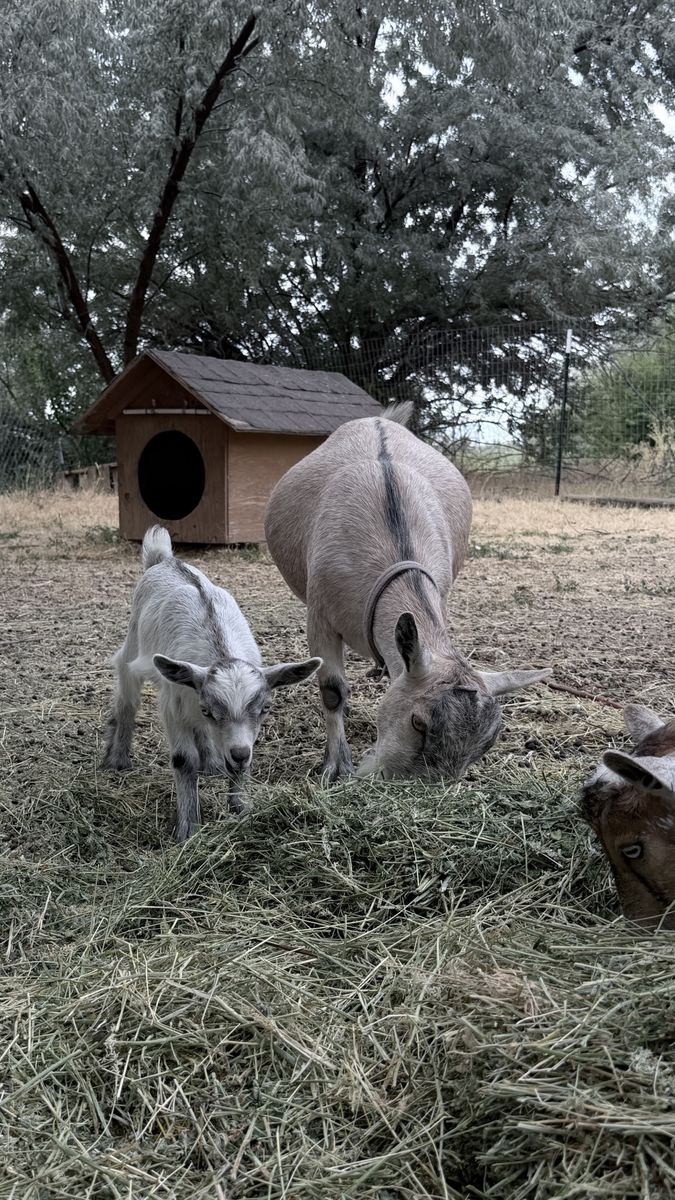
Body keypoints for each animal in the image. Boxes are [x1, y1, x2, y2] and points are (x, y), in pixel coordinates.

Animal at [102, 526, 321, 841]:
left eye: (265, 708)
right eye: (209, 710)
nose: (238, 754)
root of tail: (164, 559)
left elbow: (239, 762)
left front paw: (241, 807)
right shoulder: (173, 707)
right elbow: (183, 760)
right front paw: (187, 828)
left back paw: (213, 763)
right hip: (134, 646)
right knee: (127, 693)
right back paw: (118, 758)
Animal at [264, 406, 551, 782]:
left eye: (487, 743)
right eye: (418, 722)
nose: (417, 783)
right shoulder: (320, 615)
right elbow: (332, 691)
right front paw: (336, 766)